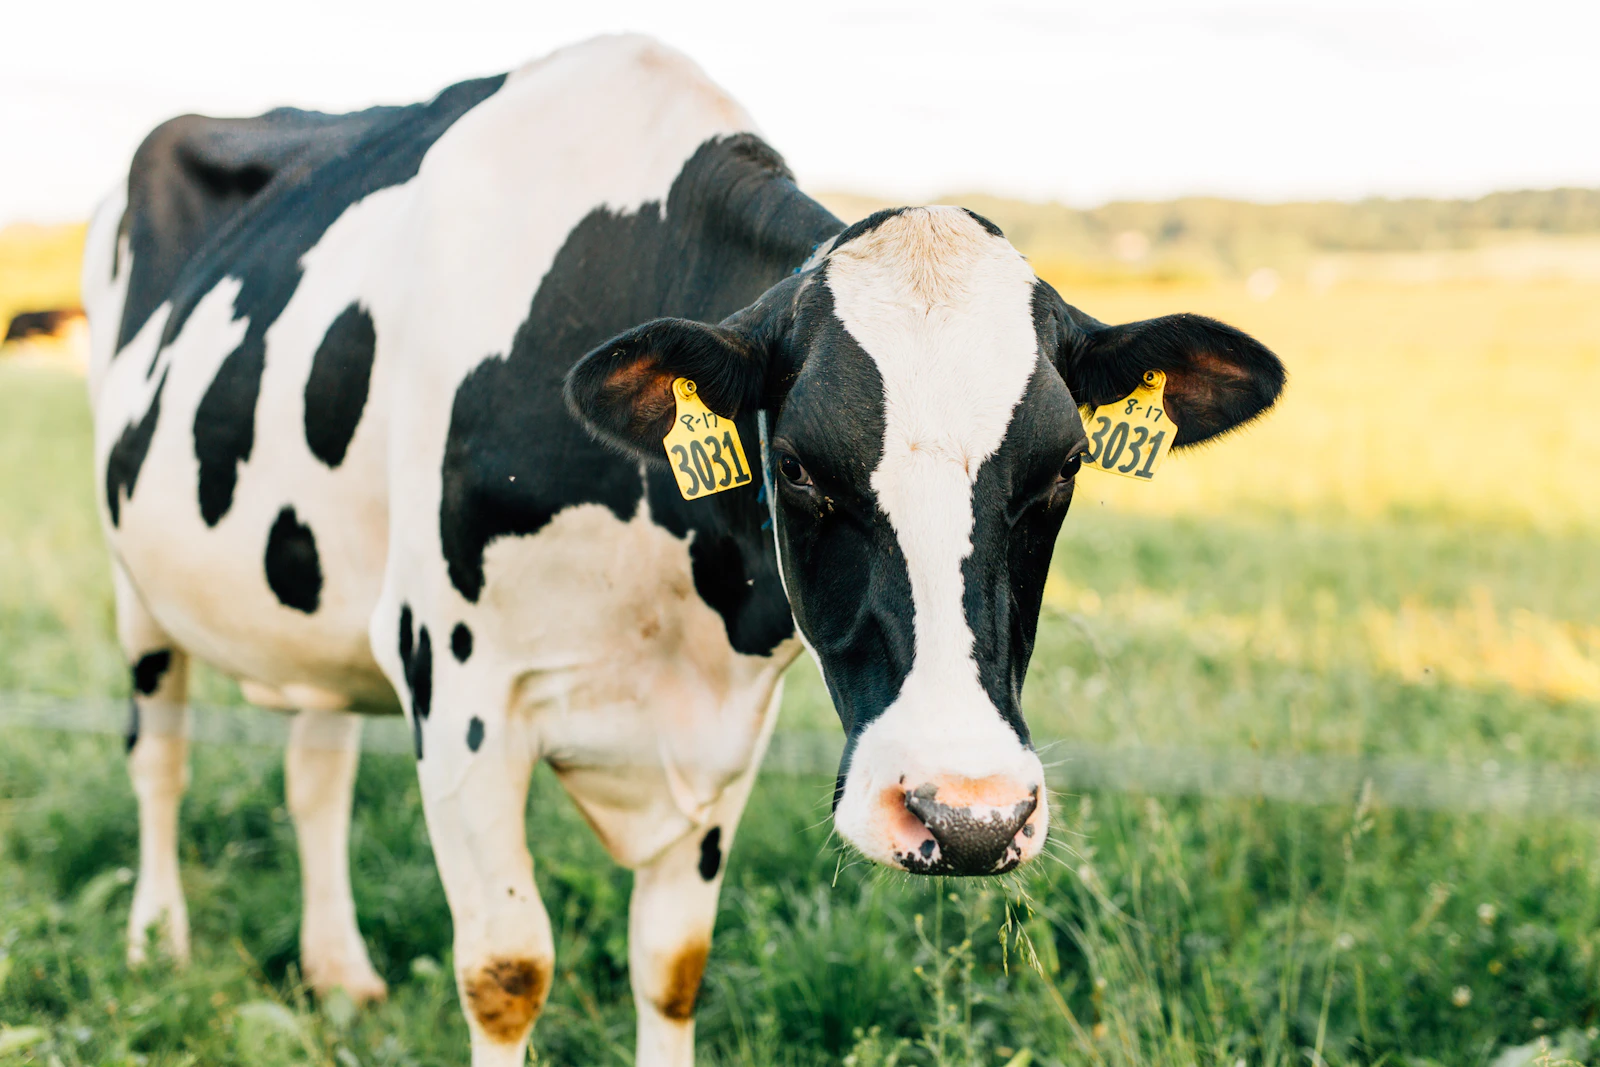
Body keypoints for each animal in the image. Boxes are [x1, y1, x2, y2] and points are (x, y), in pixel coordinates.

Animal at [81, 34, 1284, 1066]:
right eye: (795, 464)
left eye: (1062, 468)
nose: (969, 813)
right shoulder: (459, 685)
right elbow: (505, 969)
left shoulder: (724, 720)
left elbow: (672, 964)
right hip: (137, 583)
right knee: (159, 756)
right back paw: (154, 938)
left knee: (315, 766)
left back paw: (338, 969)